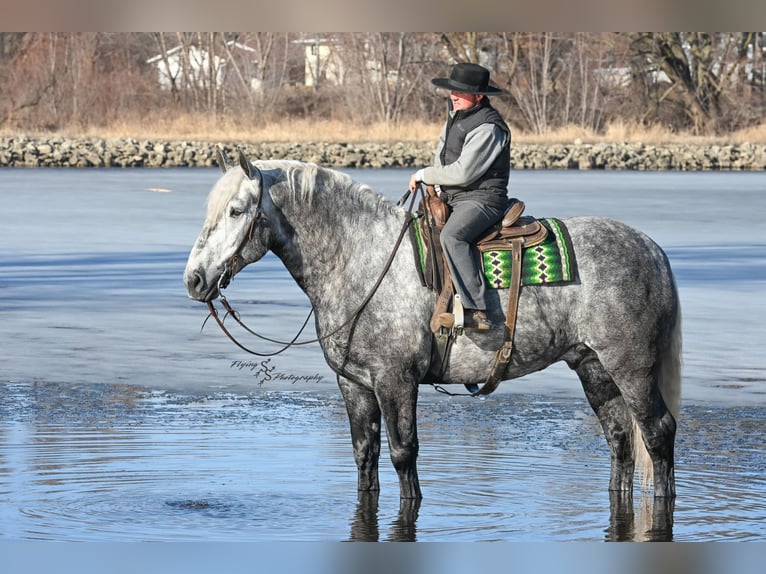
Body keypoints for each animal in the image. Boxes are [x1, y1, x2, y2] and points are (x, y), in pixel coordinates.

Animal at [184, 149, 682, 501]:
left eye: (236, 210)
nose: (194, 279)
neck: (361, 258)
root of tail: (652, 249)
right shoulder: (354, 384)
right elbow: (365, 456)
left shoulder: (396, 380)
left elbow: (404, 456)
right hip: (593, 367)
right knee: (620, 439)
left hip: (631, 368)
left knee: (657, 432)